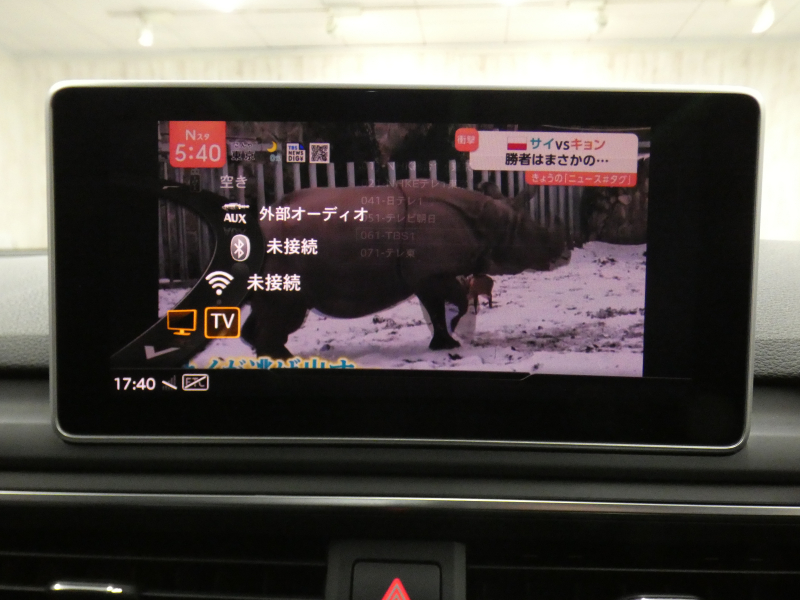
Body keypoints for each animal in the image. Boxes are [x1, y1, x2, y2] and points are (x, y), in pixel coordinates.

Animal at [241, 179, 570, 358]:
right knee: (285, 309)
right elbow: (457, 300)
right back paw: (280, 358)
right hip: (281, 250)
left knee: (282, 309)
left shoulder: (426, 277)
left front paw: (444, 343)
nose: (564, 254)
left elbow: (436, 309)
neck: (490, 220)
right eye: (537, 239)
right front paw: (455, 330)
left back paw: (267, 352)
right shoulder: (430, 274)